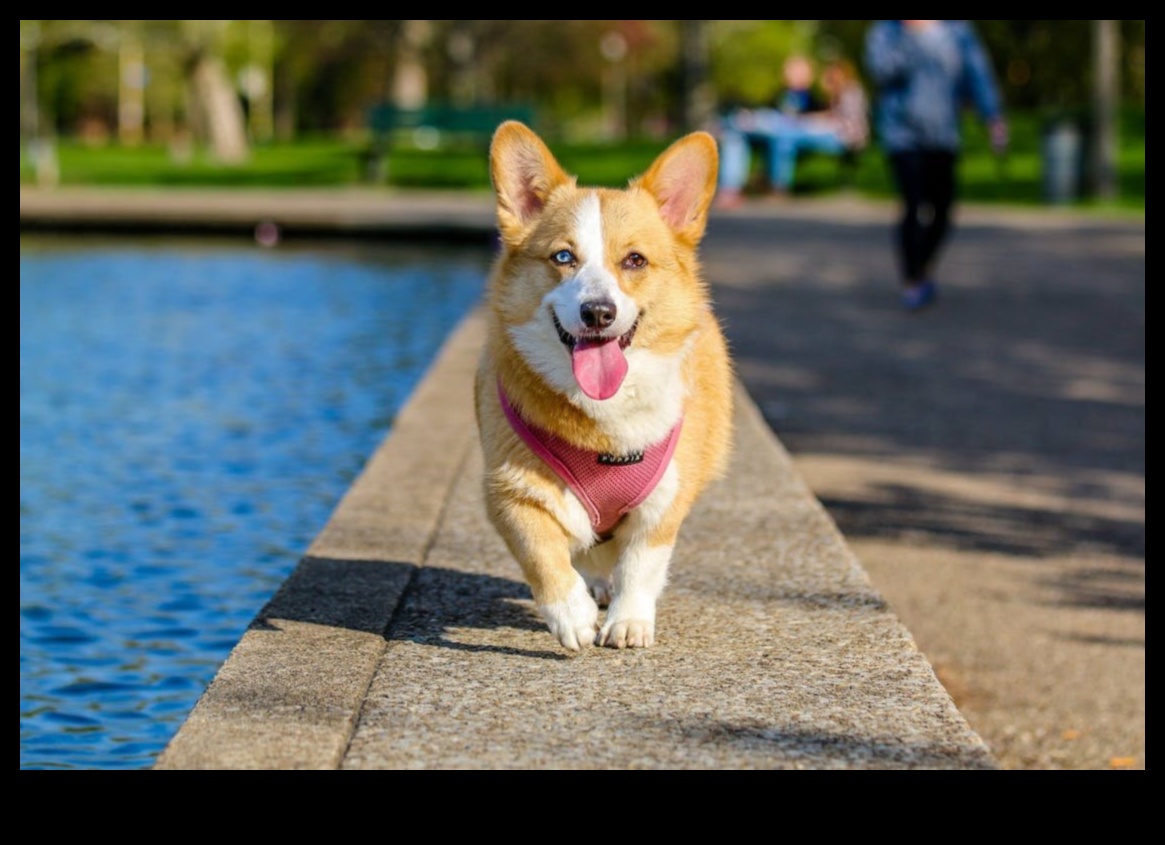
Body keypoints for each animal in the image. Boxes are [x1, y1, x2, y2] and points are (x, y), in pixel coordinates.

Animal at [470, 121, 726, 652]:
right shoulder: (509, 490)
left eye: (635, 261)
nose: (598, 313)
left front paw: (629, 622)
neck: (603, 419)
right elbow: (541, 553)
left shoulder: (664, 502)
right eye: (563, 256)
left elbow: (641, 565)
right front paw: (571, 615)